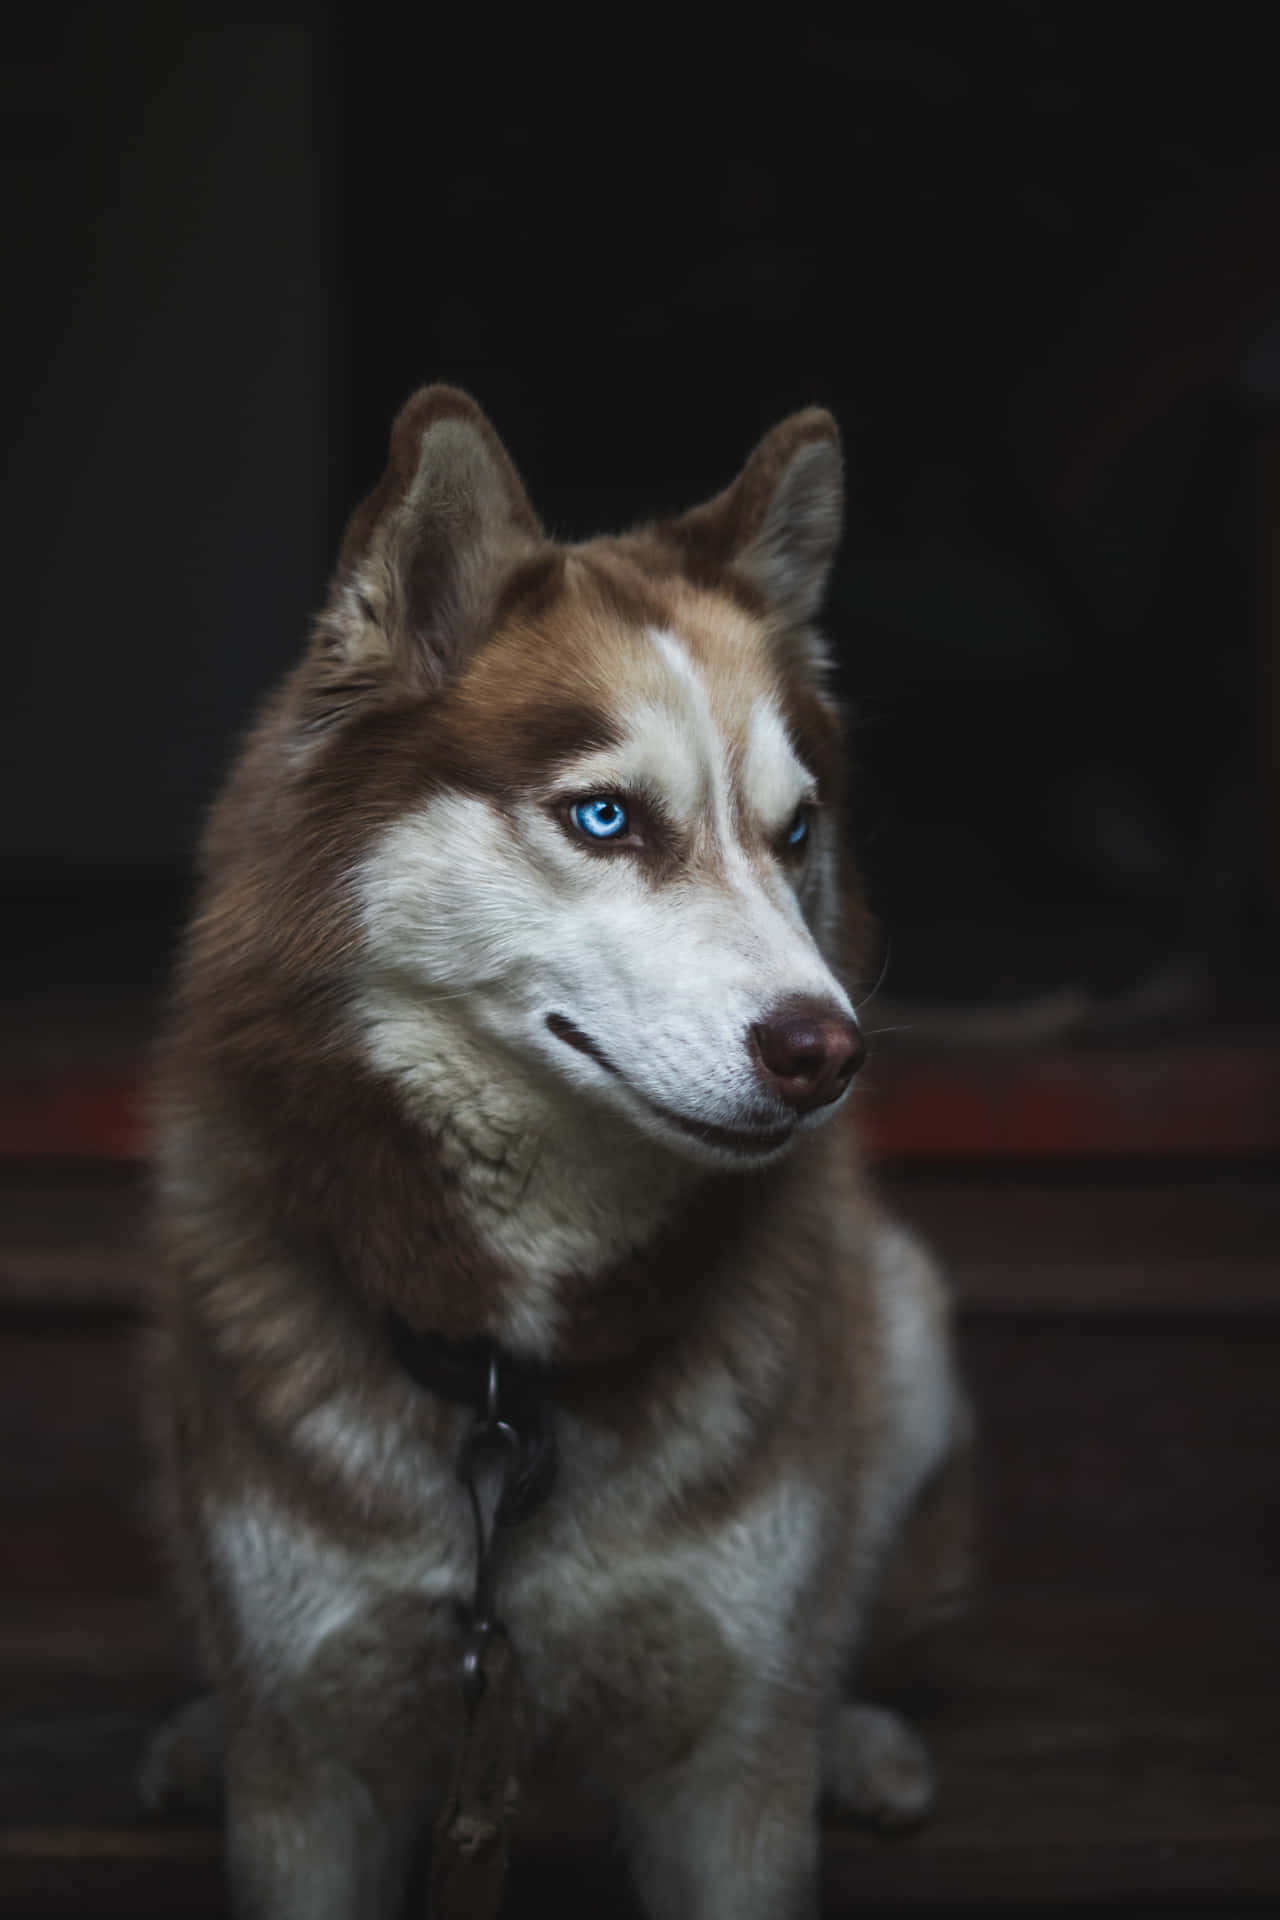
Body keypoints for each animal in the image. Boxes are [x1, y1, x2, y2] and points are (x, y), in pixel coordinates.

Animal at [147, 389, 971, 1920]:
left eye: (797, 832)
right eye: (605, 818)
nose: (827, 1051)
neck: (509, 1378)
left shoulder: (726, 1783)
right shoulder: (315, 1782)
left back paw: (858, 1737)